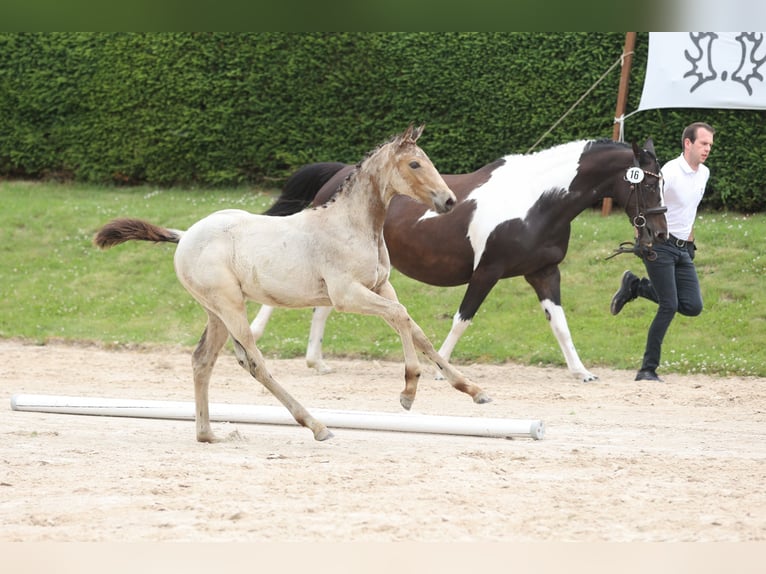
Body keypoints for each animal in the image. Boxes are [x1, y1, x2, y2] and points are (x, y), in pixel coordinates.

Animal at [94, 126, 492, 446]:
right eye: (414, 165)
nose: (448, 200)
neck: (352, 226)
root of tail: (186, 234)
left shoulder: (381, 287)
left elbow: (415, 328)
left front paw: (473, 390)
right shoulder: (347, 295)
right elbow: (401, 317)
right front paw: (409, 390)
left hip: (216, 312)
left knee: (202, 360)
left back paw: (207, 434)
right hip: (230, 306)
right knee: (253, 361)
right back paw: (316, 425)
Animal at [252, 138, 664, 384]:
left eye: (660, 182)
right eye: (646, 183)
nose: (659, 235)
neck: (537, 202)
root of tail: (339, 174)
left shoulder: (544, 273)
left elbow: (560, 325)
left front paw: (582, 372)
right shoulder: (487, 272)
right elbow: (461, 320)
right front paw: (442, 369)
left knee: (322, 308)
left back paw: (316, 361)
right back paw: (258, 336)